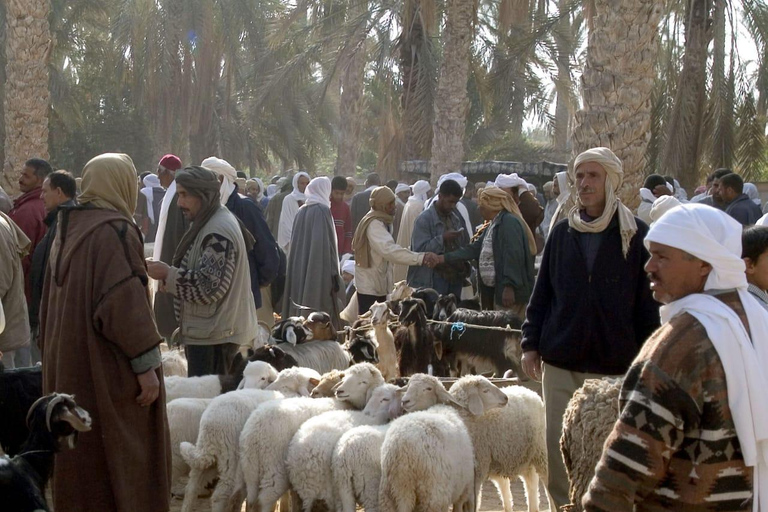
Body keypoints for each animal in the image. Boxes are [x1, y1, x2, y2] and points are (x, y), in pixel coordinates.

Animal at [180, 366, 320, 512]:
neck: (287, 392)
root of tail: (211, 425)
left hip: (207, 453)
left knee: (192, 486)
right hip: (231, 459)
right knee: (221, 495)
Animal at [238, 360, 384, 512]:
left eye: (363, 382)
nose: (340, 391)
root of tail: (254, 431)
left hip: (250, 469)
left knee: (251, 500)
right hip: (274, 471)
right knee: (264, 501)